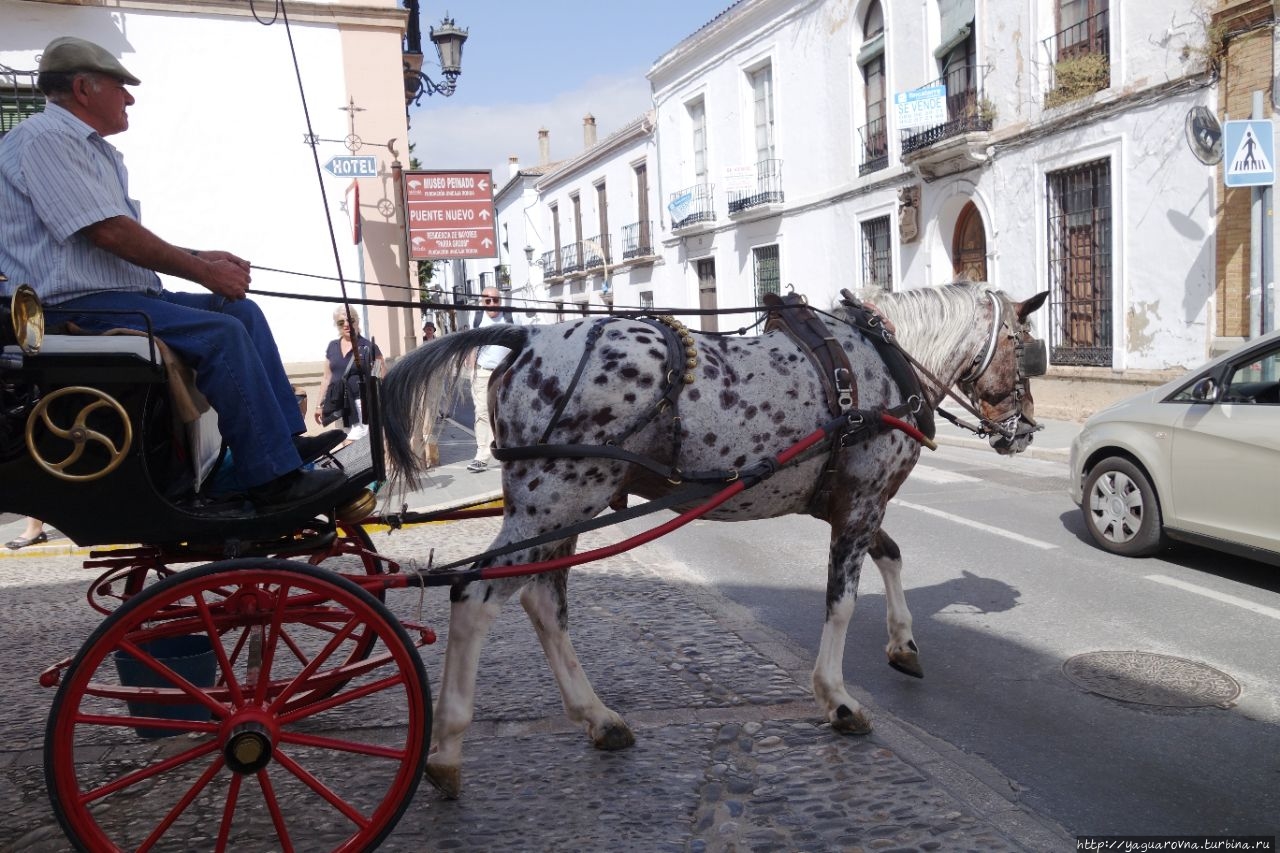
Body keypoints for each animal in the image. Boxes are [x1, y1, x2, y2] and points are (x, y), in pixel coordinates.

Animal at [378, 281, 1049, 794]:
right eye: (1023, 346)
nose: (1026, 430)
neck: (881, 359)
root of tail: (525, 337)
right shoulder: (860, 500)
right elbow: (841, 602)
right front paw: (837, 698)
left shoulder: (851, 503)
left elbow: (892, 554)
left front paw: (903, 644)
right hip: (555, 501)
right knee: (476, 595)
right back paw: (447, 748)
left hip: (562, 508)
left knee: (542, 601)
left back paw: (597, 717)